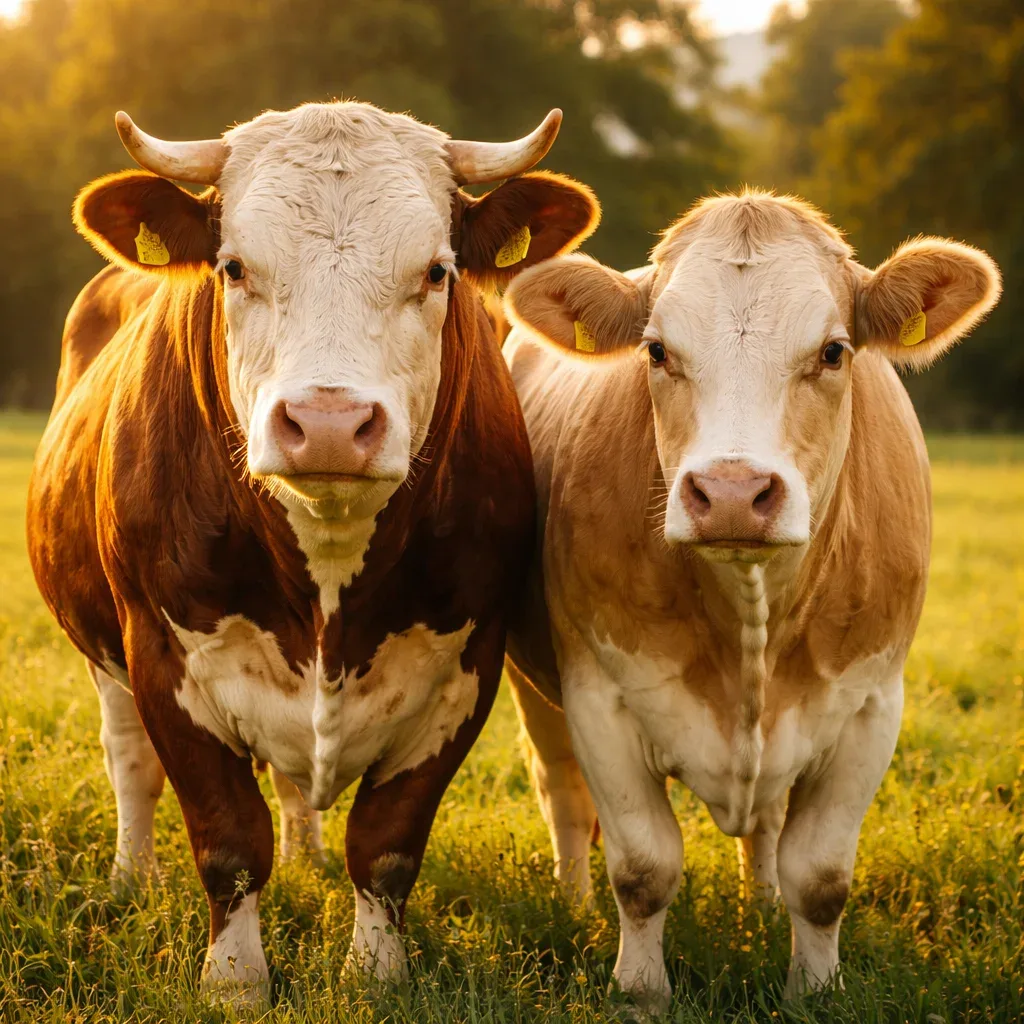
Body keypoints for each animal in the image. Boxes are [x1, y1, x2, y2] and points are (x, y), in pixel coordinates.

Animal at [27, 100, 599, 1005]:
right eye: (232, 268)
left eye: (437, 271)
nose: (329, 422)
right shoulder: (161, 655)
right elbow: (228, 839)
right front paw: (234, 979)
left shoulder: (463, 669)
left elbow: (386, 842)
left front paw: (376, 971)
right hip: (103, 657)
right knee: (130, 763)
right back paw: (131, 877)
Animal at [500, 191, 1000, 1011]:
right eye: (656, 351)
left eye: (833, 351)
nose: (732, 493)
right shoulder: (599, 692)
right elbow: (643, 868)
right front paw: (641, 993)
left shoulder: (872, 703)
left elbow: (820, 878)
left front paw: (814, 991)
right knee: (563, 795)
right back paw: (571, 903)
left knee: (765, 826)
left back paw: (760, 908)